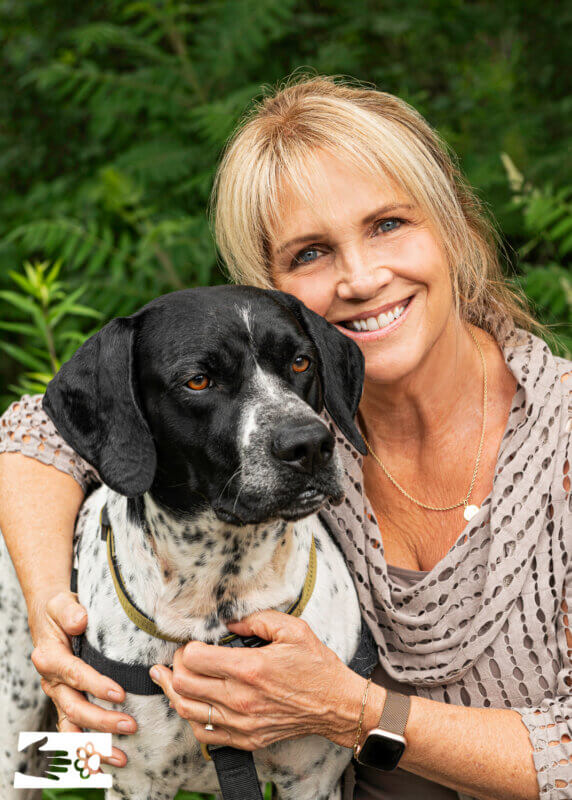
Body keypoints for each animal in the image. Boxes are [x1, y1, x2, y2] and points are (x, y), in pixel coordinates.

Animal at [1, 288, 366, 800]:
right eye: (198, 381)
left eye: (300, 362)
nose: (309, 444)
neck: (221, 589)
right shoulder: (136, 784)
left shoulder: (311, 780)